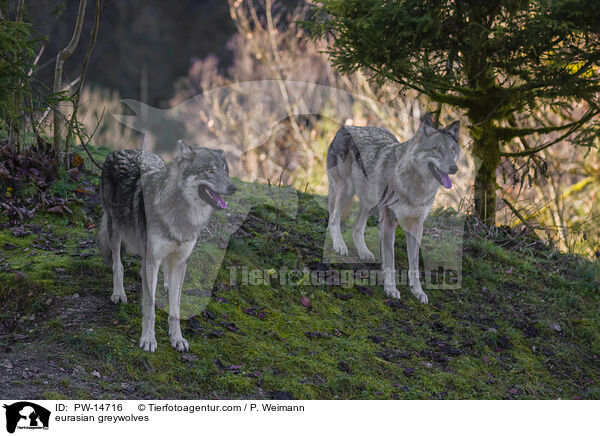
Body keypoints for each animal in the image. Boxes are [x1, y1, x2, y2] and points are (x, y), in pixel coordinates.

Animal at [98, 141, 237, 352]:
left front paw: (177, 338)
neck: (180, 213)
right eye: (209, 170)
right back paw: (119, 293)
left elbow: (175, 308)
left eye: (225, 171)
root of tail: (121, 150)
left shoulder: (180, 262)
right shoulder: (152, 259)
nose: (233, 187)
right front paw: (148, 339)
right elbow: (149, 307)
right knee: (117, 265)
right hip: (115, 229)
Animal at [328, 112, 460, 304]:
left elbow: (414, 264)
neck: (415, 186)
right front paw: (390, 289)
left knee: (356, 228)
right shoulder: (389, 222)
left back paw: (364, 252)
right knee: (333, 219)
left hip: (370, 204)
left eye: (452, 150)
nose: (454, 168)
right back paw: (340, 246)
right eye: (437, 149)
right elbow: (391, 261)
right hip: (346, 191)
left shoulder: (416, 226)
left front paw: (418, 291)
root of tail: (345, 128)